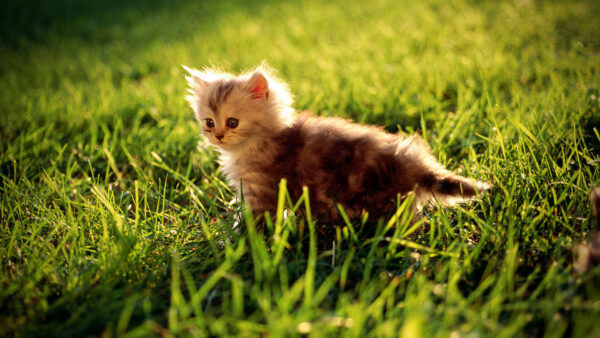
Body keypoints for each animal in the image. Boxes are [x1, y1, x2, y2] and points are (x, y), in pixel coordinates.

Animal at [185, 63, 490, 222]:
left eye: (232, 122)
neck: (257, 143)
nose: (218, 135)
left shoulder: (262, 191)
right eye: (209, 122)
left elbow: (253, 222)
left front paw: (234, 241)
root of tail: (413, 164)